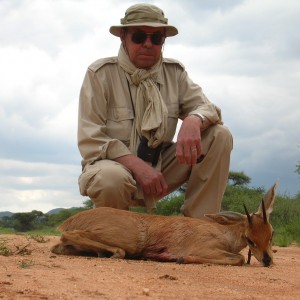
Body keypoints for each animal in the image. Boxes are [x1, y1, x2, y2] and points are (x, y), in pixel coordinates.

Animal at [50, 180, 278, 268]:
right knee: (71, 236)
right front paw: (180, 258)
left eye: (271, 233)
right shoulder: (205, 248)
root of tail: (72, 219)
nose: (268, 260)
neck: (224, 234)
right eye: (249, 238)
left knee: (59, 246)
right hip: (128, 240)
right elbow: (239, 258)